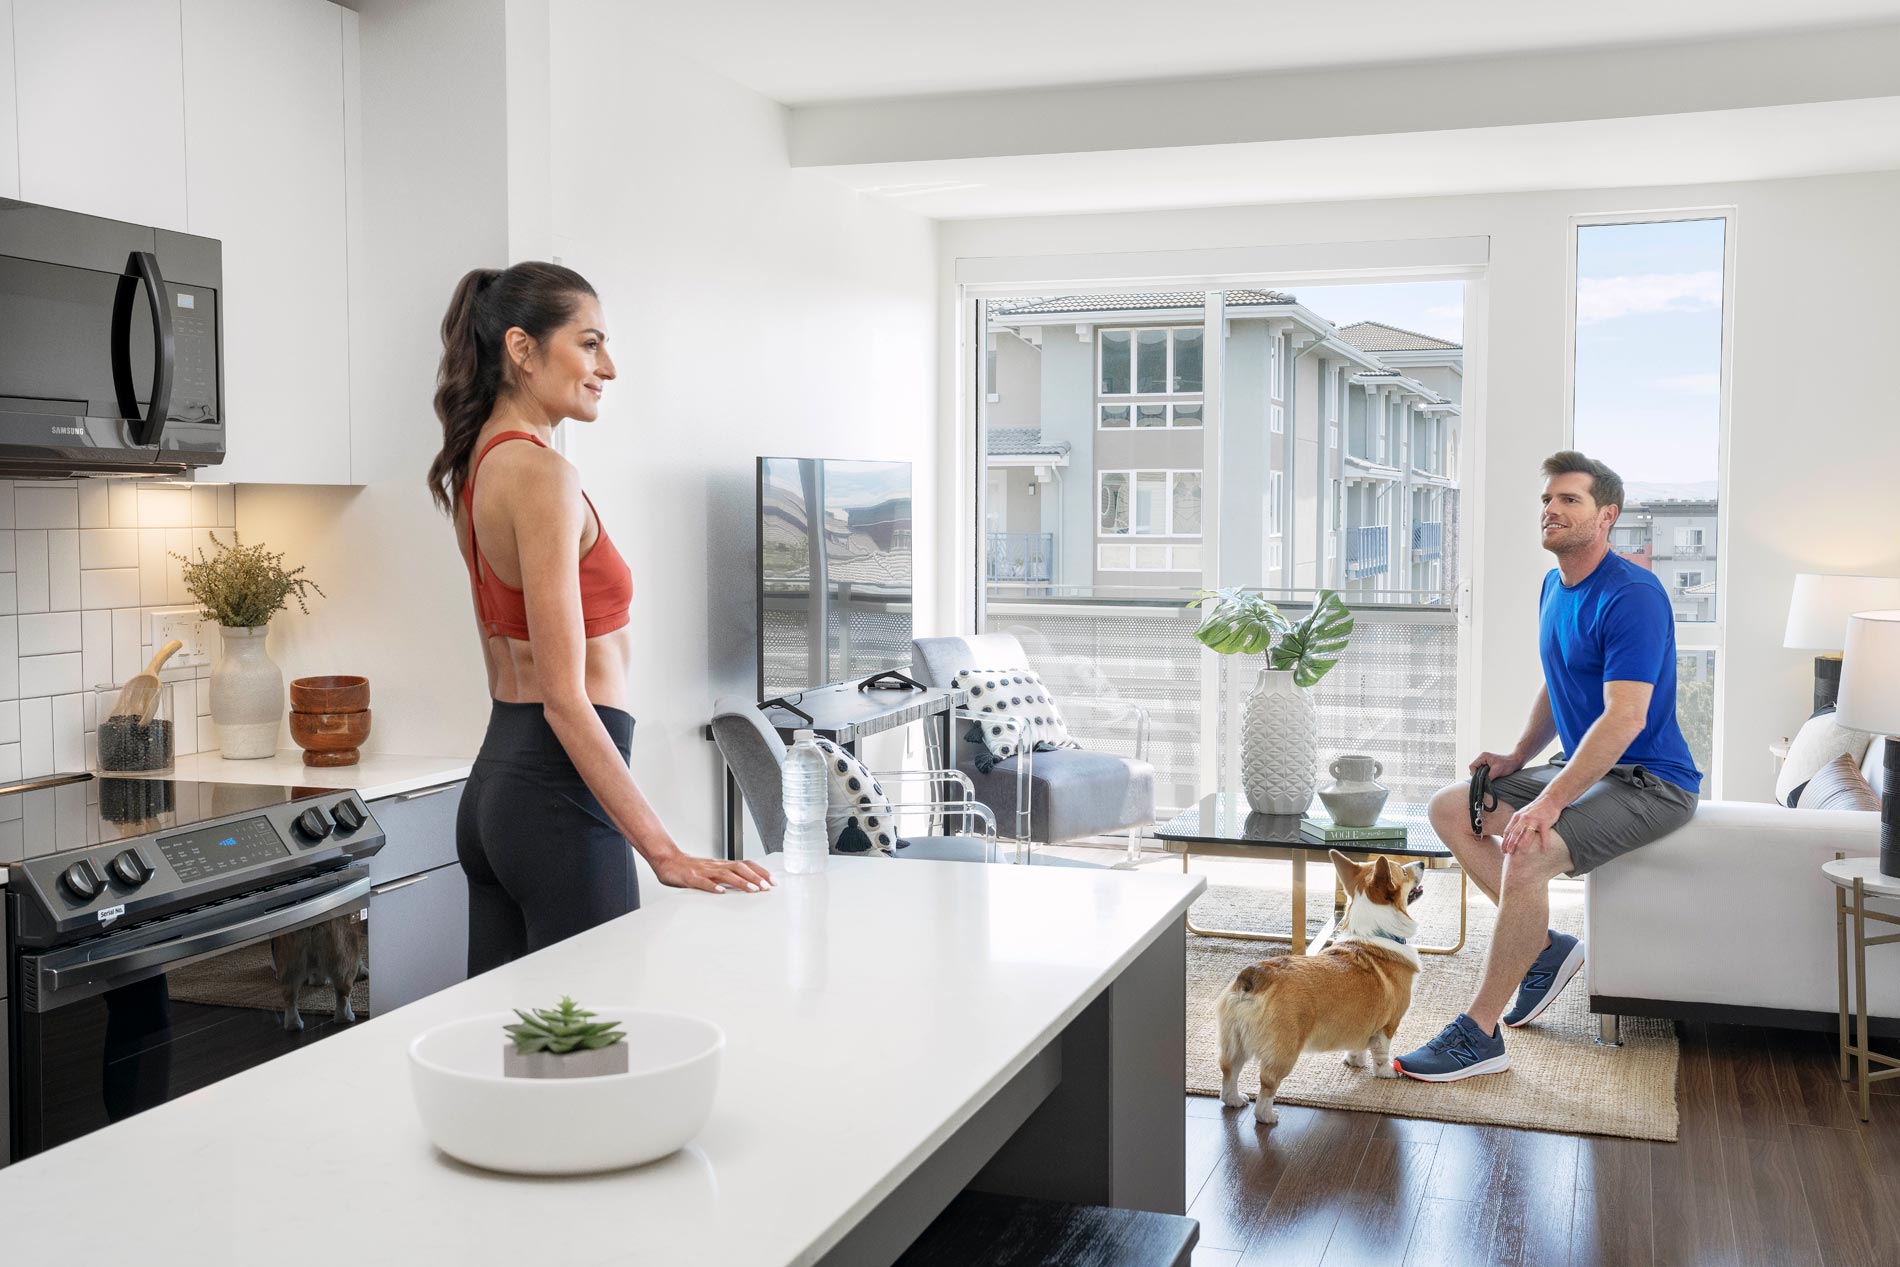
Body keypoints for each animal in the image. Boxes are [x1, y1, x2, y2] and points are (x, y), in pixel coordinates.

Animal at [1216, 850, 1428, 1132]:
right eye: (1403, 872)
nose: (1422, 863)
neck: (1374, 932)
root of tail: (1256, 975)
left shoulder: (1361, 1023)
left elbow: (1358, 1045)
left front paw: (1355, 1061)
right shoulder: (1389, 1024)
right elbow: (1382, 1053)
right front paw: (1385, 1073)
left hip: (1234, 1043)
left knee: (1229, 1071)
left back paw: (1234, 1099)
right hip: (1284, 1053)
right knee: (1267, 1085)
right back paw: (1268, 1116)